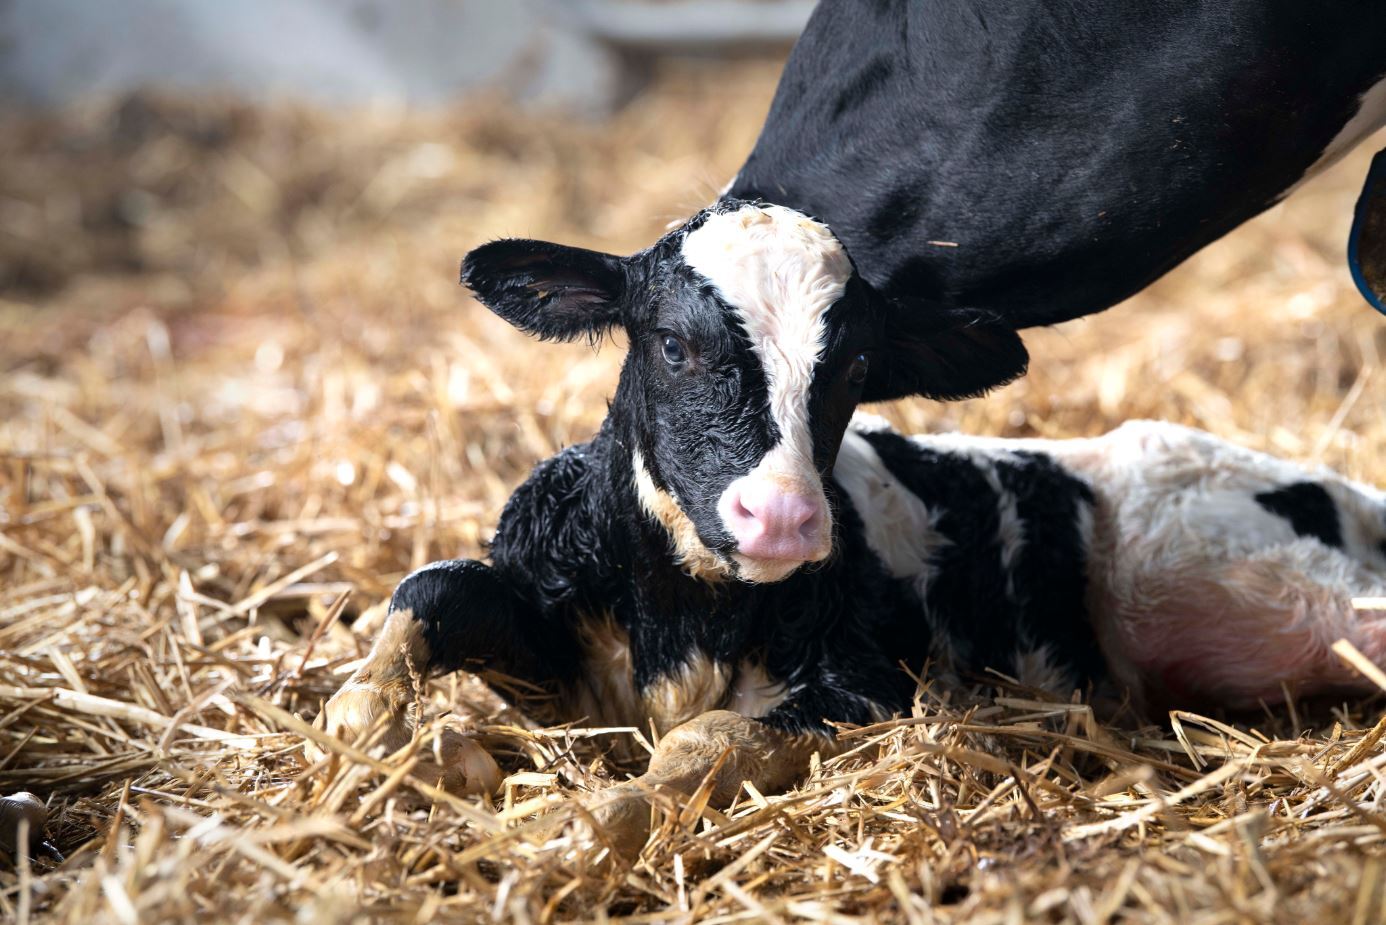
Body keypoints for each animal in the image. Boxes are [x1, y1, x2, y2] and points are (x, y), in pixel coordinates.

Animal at [311, 202, 1386, 854]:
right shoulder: (555, 642)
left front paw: (586, 821)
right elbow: (431, 593)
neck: (683, 619)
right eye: (672, 344)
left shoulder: (865, 685)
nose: (785, 515)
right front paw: (376, 742)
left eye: (859, 366)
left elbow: (704, 742)